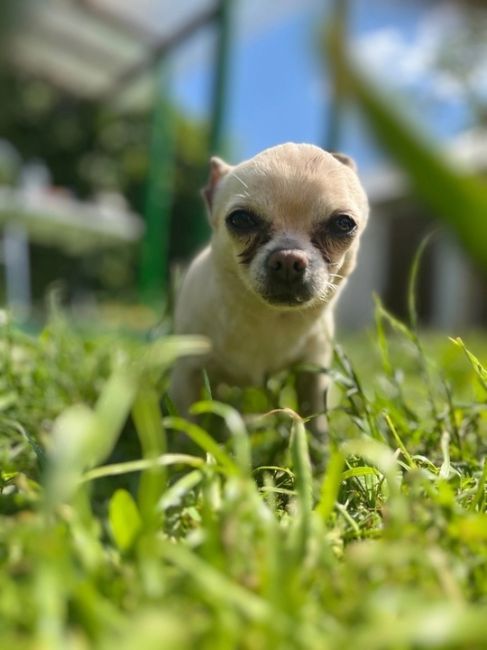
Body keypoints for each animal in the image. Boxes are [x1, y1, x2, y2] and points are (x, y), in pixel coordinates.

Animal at [171, 144, 370, 432]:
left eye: (343, 224)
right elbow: (186, 425)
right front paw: (185, 444)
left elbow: (316, 420)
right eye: (240, 219)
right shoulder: (188, 373)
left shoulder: (313, 372)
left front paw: (319, 445)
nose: (288, 259)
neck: (266, 317)